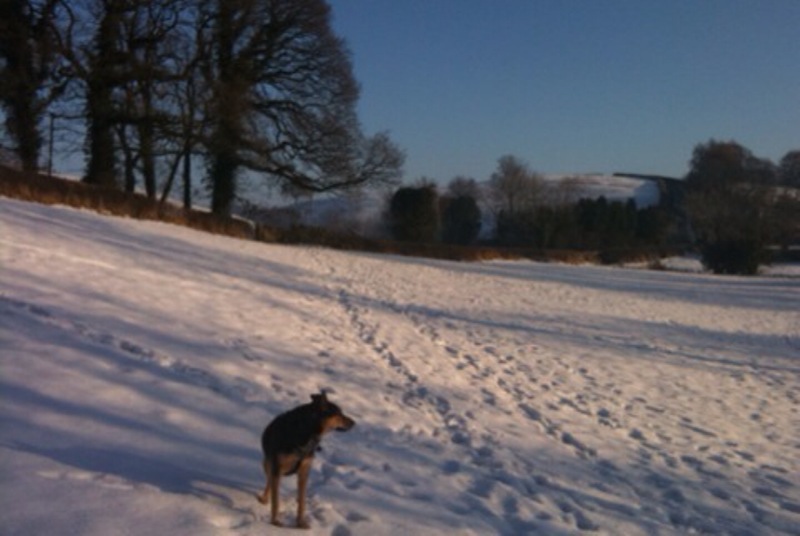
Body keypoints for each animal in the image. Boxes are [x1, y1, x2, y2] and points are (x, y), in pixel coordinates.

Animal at [258, 392, 354, 524]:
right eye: (338, 413)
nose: (354, 423)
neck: (307, 432)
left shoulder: (304, 469)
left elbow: (302, 501)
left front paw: (300, 522)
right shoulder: (277, 467)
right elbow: (276, 501)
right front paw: (275, 521)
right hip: (268, 464)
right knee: (270, 482)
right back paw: (265, 498)